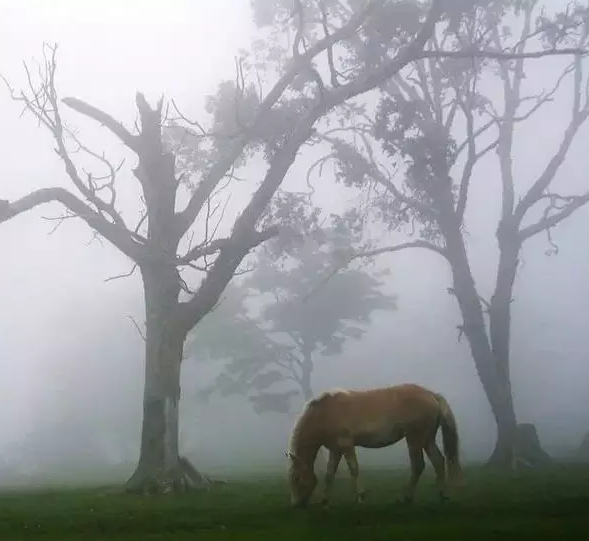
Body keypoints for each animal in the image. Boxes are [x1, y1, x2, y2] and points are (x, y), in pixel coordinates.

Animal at [286, 384, 464, 506]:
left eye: (297, 478)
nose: (295, 505)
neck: (324, 413)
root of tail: (432, 395)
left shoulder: (346, 445)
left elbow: (354, 468)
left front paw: (360, 496)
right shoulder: (336, 450)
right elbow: (330, 474)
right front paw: (325, 501)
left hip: (414, 439)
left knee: (418, 465)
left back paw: (407, 497)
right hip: (427, 439)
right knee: (438, 461)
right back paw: (442, 495)